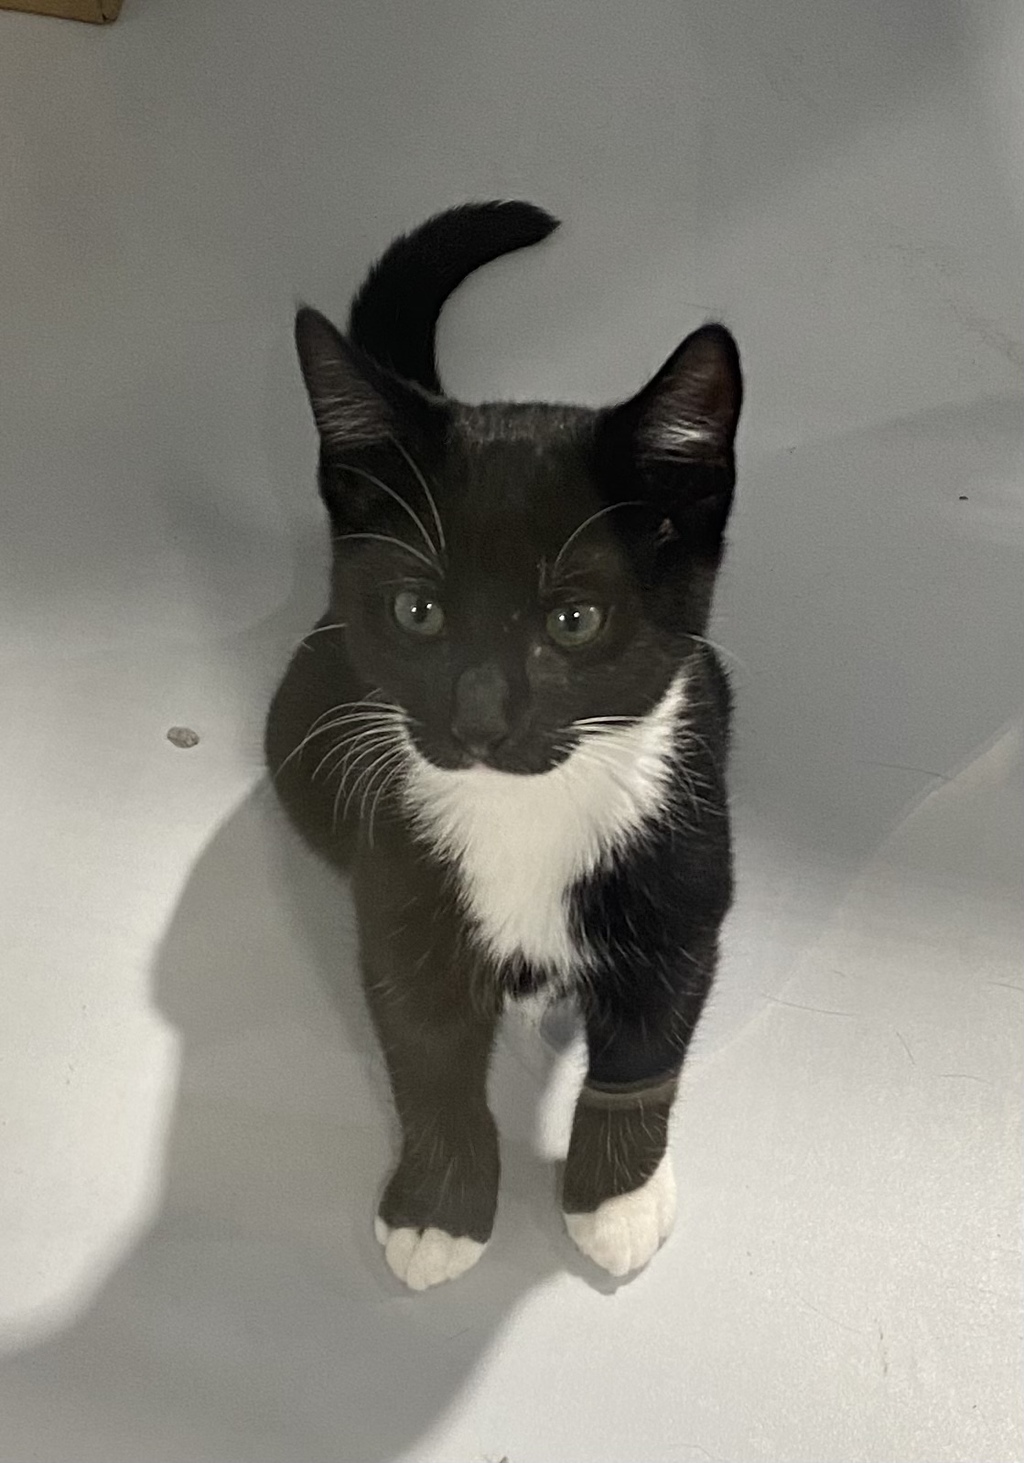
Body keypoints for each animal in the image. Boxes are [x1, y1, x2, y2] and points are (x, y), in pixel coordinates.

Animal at [266, 202, 742, 1290]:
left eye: (574, 619)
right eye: (416, 610)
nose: (480, 720)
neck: (527, 812)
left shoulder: (687, 884)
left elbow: (647, 1050)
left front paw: (615, 1196)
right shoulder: (398, 888)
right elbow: (425, 1050)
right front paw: (438, 1206)